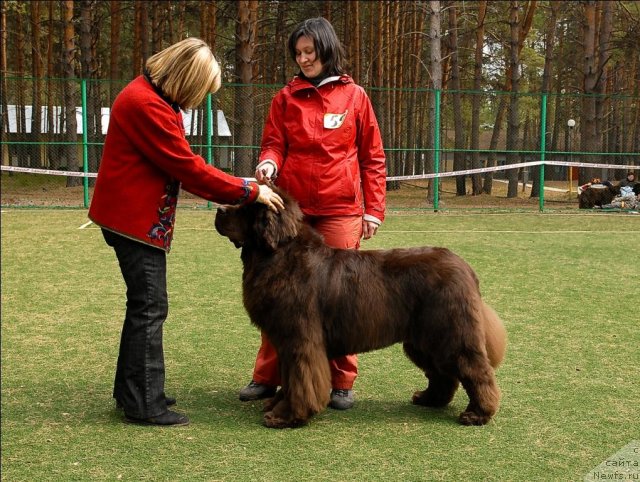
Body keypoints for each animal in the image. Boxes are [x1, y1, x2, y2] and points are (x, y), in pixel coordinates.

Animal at [215, 189, 504, 430]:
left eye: (246, 207)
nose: (219, 208)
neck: (279, 256)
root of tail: (466, 268)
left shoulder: (300, 340)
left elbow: (300, 380)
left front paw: (285, 417)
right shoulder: (286, 342)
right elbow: (289, 379)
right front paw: (277, 406)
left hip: (451, 333)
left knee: (476, 371)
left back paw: (477, 414)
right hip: (424, 339)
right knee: (442, 374)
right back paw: (429, 399)